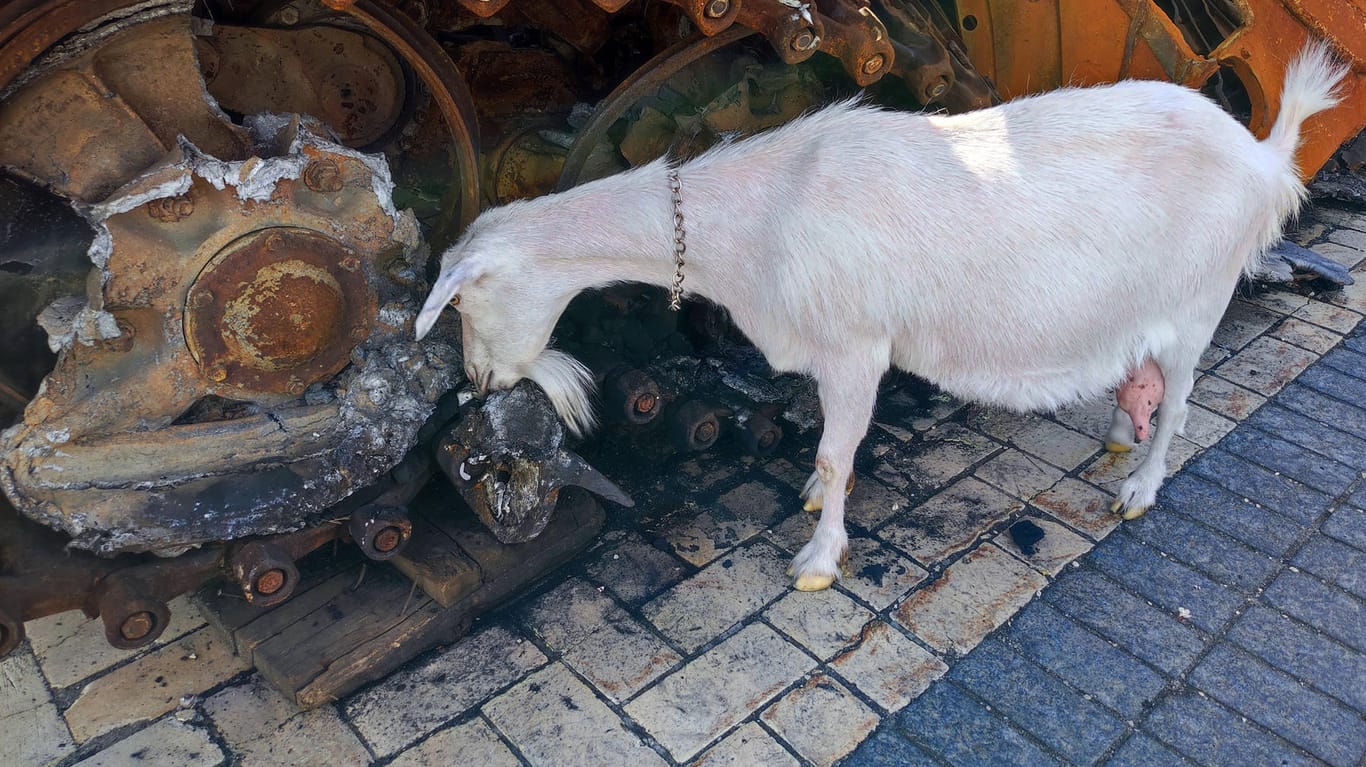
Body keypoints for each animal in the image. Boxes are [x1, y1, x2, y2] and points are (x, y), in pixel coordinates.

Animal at [412, 40, 1344, 593]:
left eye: (461, 299)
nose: (478, 382)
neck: (761, 215)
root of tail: (1264, 157)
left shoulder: (857, 347)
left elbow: (836, 450)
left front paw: (819, 561)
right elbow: (831, 453)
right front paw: (810, 502)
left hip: (1199, 299)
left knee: (1183, 399)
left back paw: (1139, 487)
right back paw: (1121, 427)